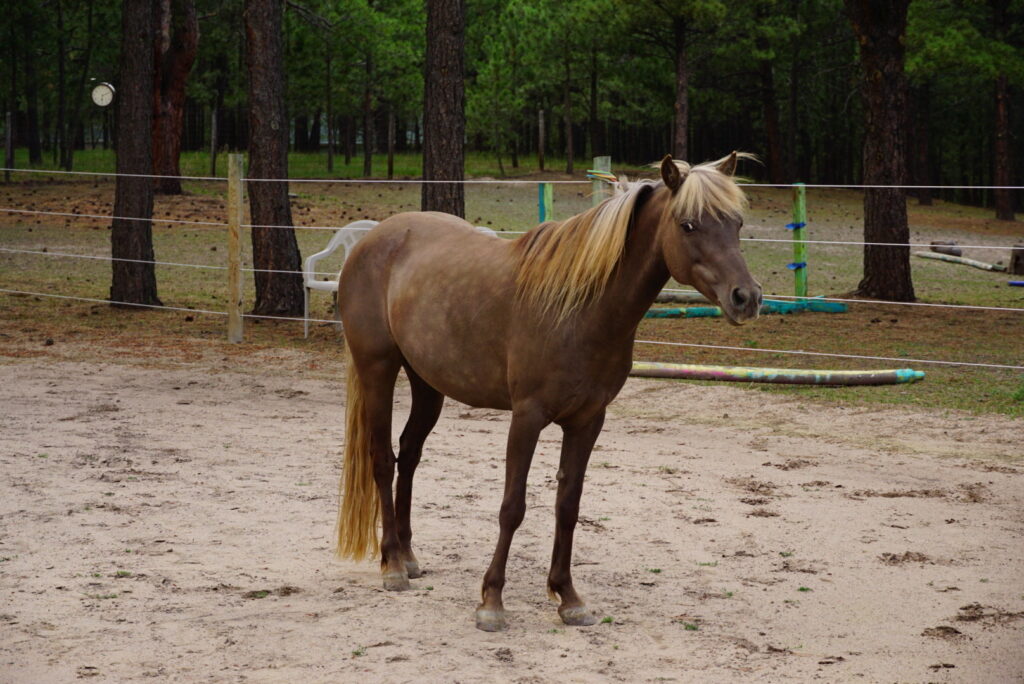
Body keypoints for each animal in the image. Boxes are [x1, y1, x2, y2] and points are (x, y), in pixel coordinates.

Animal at [335, 153, 761, 630]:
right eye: (688, 225)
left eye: (737, 222)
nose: (746, 297)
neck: (580, 309)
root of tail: (373, 239)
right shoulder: (528, 417)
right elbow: (512, 507)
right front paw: (492, 601)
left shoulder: (588, 420)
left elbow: (568, 506)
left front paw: (567, 596)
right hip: (378, 369)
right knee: (382, 459)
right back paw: (391, 566)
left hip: (428, 383)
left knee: (408, 455)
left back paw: (408, 557)